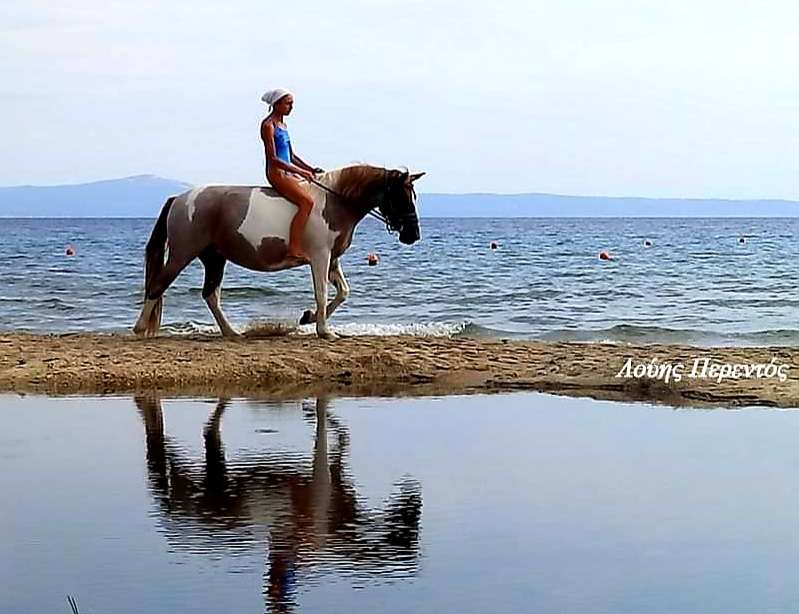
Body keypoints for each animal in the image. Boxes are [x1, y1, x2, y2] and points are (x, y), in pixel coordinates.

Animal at [133, 166, 424, 340]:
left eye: (414, 196)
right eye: (401, 196)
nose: (413, 234)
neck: (335, 201)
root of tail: (179, 199)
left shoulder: (332, 259)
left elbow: (343, 292)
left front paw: (308, 318)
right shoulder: (320, 256)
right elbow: (322, 293)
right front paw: (323, 330)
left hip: (214, 258)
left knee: (211, 295)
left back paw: (231, 332)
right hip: (183, 253)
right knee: (157, 286)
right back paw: (139, 328)